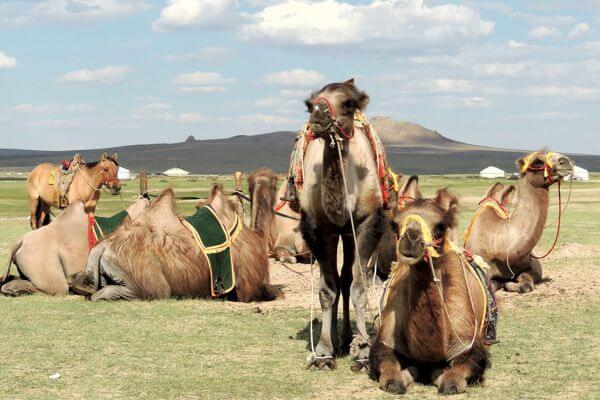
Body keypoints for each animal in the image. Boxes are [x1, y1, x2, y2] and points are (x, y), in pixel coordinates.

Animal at [298, 79, 386, 370]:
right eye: (310, 104)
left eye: (348, 104)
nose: (319, 115)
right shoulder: (318, 228)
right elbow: (327, 289)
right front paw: (323, 351)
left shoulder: (366, 223)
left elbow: (358, 286)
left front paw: (363, 352)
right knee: (339, 280)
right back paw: (339, 339)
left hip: (348, 234)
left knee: (347, 279)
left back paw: (350, 337)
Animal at [370, 186, 492, 396]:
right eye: (394, 225)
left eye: (441, 226)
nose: (411, 238)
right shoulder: (386, 339)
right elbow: (387, 366)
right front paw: (400, 378)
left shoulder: (468, 343)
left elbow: (457, 374)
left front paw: (445, 379)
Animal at [462, 152, 576, 292]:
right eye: (537, 162)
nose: (566, 161)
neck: (498, 247)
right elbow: (491, 285)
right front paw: (501, 283)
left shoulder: (532, 267)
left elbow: (525, 285)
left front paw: (508, 283)